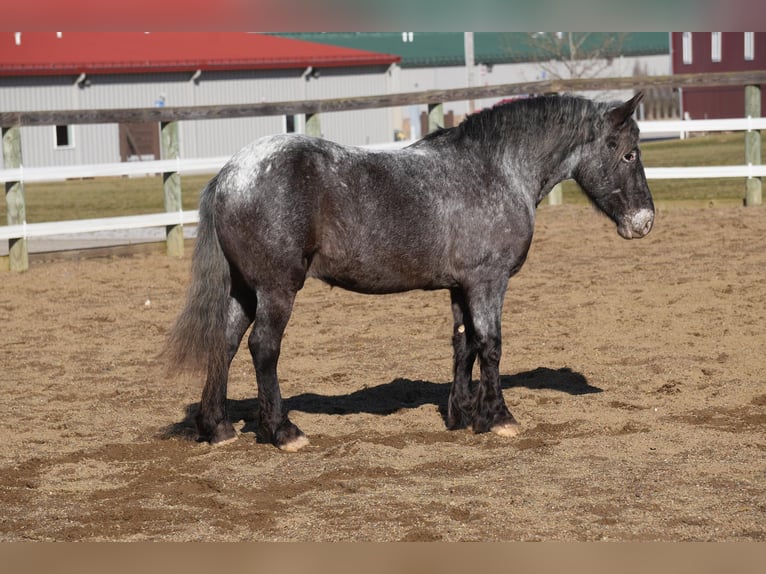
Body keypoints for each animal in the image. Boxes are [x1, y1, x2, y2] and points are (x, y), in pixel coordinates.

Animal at [165, 92, 654, 452]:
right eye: (629, 154)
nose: (645, 221)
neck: (494, 169)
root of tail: (231, 173)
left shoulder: (461, 287)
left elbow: (464, 345)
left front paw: (462, 415)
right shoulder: (488, 282)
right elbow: (491, 346)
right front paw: (499, 417)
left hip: (244, 291)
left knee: (224, 344)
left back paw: (218, 428)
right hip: (276, 289)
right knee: (263, 348)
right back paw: (284, 432)